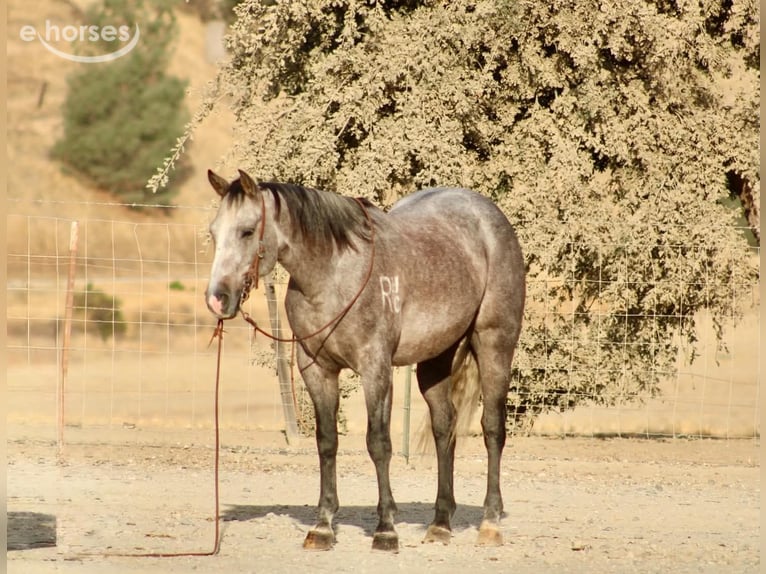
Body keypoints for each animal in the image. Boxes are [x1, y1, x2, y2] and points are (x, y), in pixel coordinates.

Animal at [205, 169, 525, 552]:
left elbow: (379, 444)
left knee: (492, 429)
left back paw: (490, 523)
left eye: (247, 231)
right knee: (443, 428)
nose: (217, 299)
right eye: (213, 232)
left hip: (494, 344)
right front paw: (323, 527)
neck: (333, 275)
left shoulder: (376, 369)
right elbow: (327, 442)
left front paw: (385, 529)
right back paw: (440, 524)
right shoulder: (316, 370)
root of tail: (490, 216)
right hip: (436, 359)